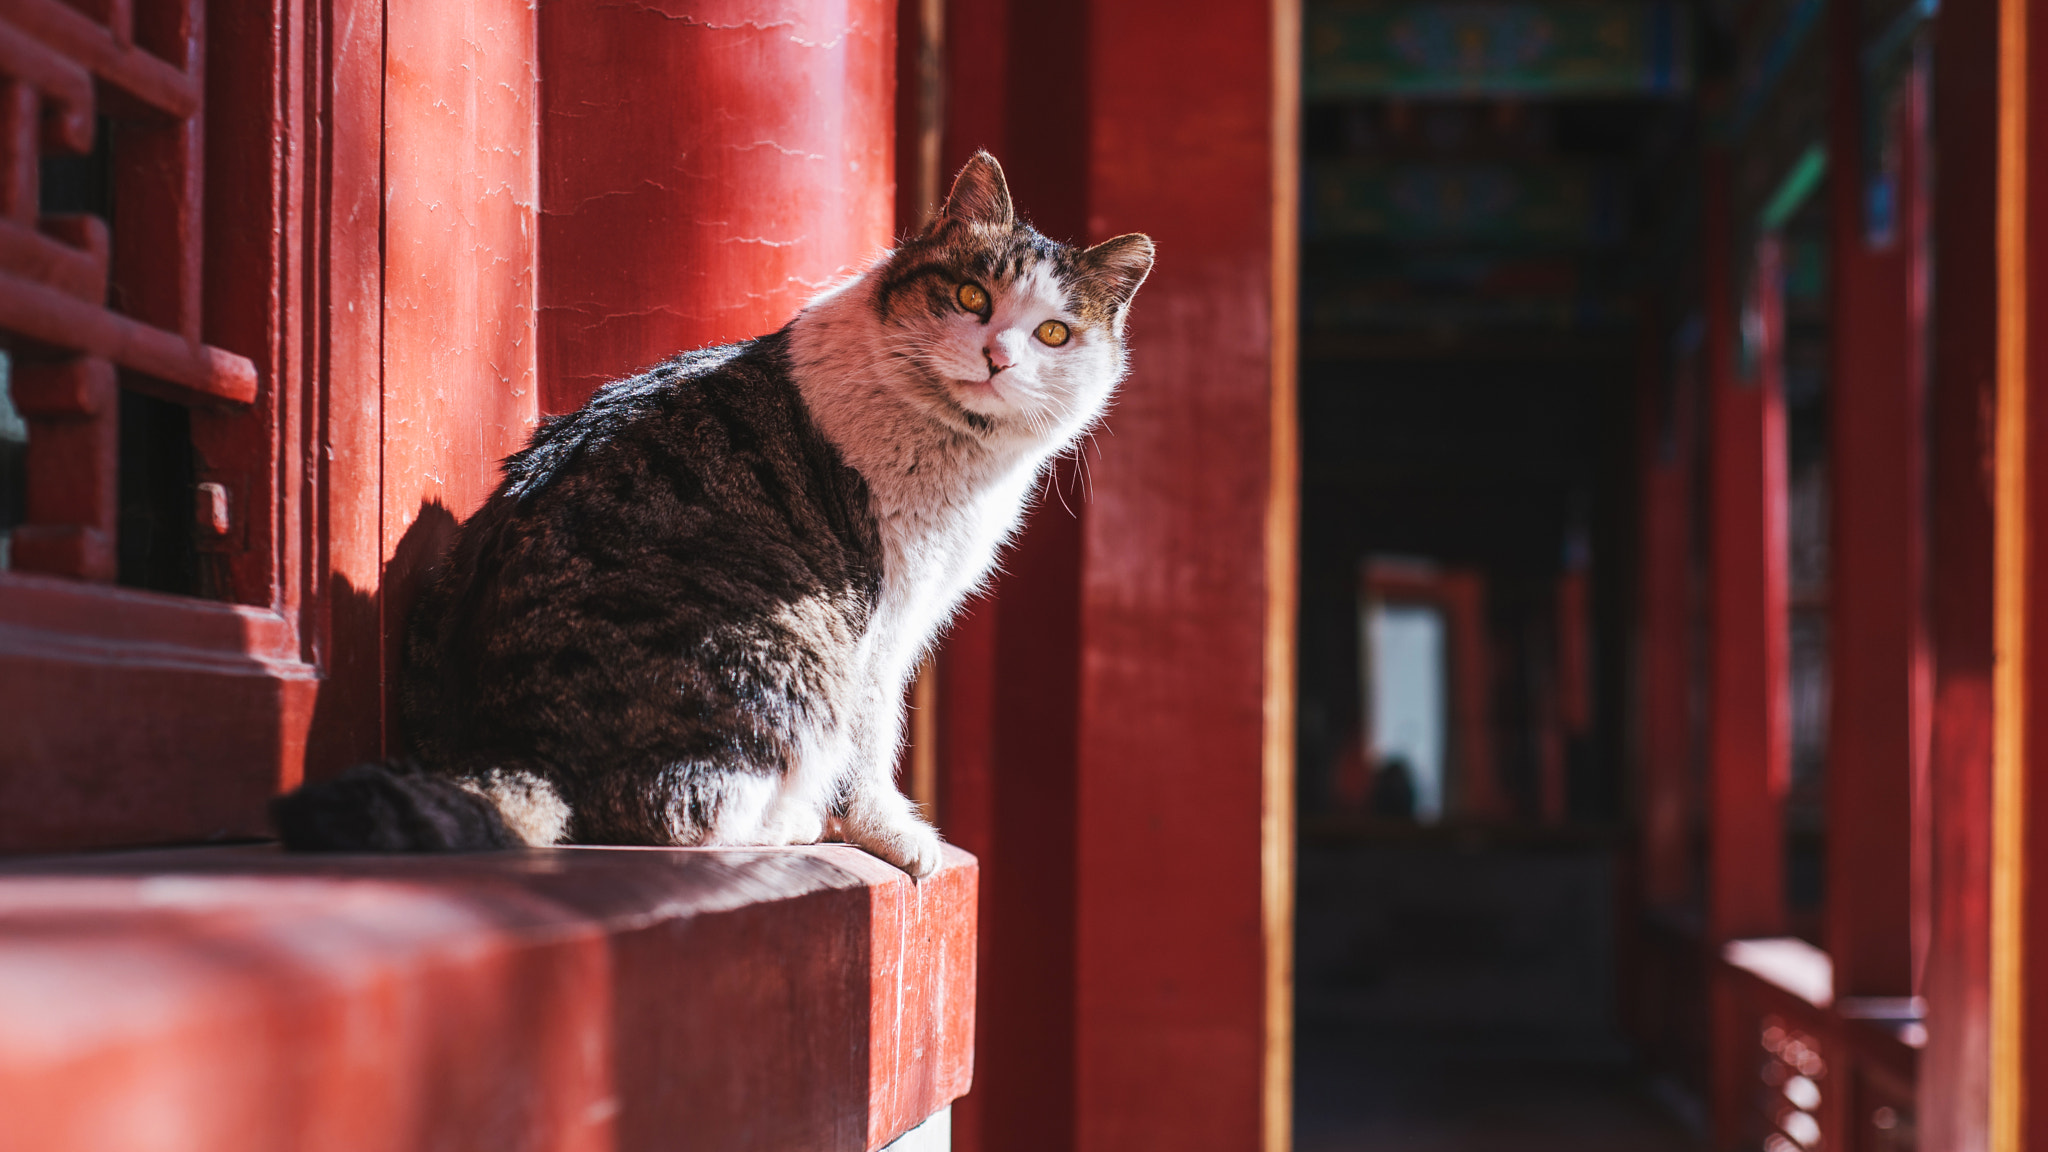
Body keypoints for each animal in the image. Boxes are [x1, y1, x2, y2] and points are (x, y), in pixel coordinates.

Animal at [272, 150, 1155, 869]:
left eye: (1054, 333)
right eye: (972, 295)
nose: (999, 356)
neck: (965, 452)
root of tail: (520, 742)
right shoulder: (885, 621)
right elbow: (872, 743)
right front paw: (900, 836)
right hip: (790, 647)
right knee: (673, 813)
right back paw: (793, 824)